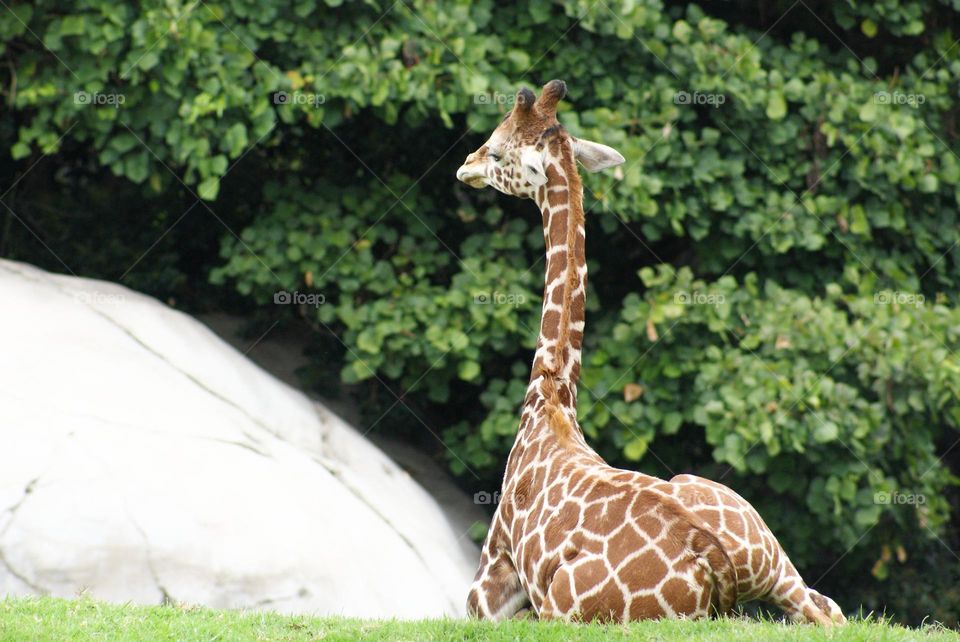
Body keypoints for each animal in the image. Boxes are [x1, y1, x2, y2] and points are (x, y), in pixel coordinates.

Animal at [455, 80, 845, 625]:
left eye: (495, 150)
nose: (465, 164)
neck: (552, 397)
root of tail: (713, 562)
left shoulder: (491, 581)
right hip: (775, 561)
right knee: (831, 609)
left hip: (562, 605)